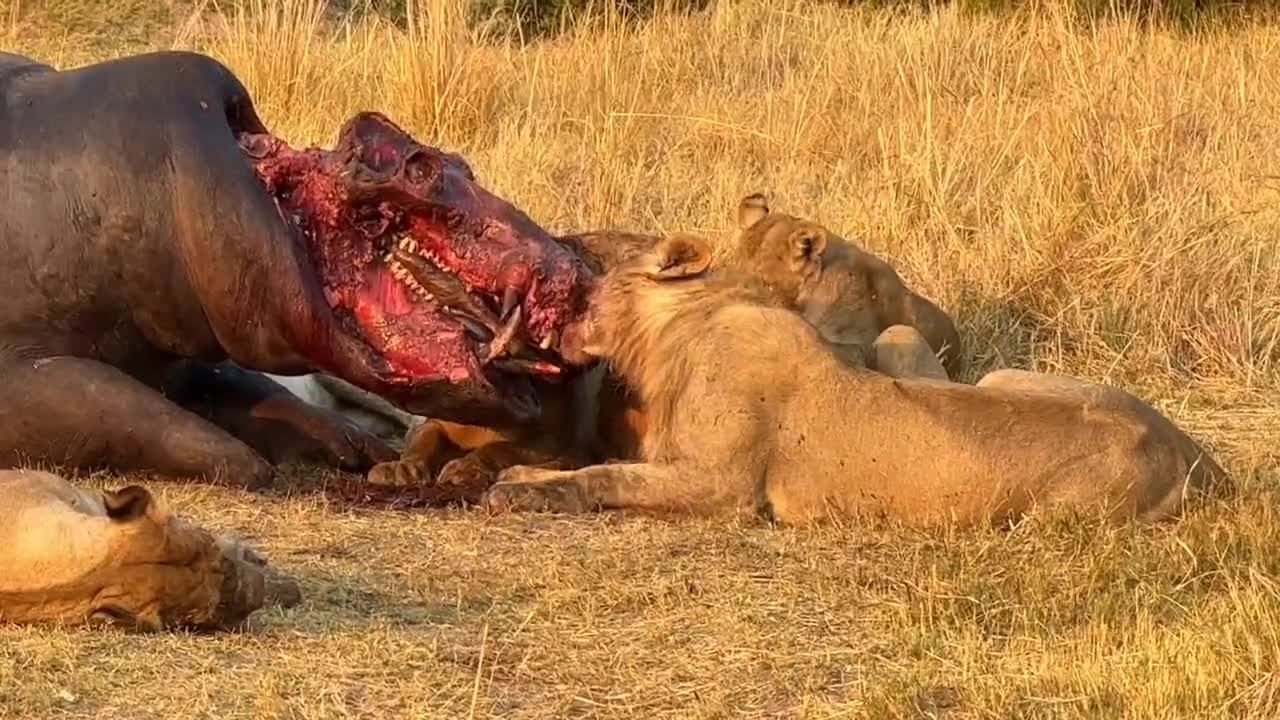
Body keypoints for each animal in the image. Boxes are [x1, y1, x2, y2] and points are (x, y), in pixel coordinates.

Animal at [362, 195, 962, 491]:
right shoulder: (437, 419)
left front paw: (468, 468)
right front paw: (402, 466)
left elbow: (506, 451)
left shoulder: (570, 446)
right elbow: (423, 437)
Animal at [481, 233, 1230, 527]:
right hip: (997, 373)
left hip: (1058, 513)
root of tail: (1200, 457)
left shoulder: (727, 487)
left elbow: (603, 476)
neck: (678, 332)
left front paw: (518, 488)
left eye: (594, 267)